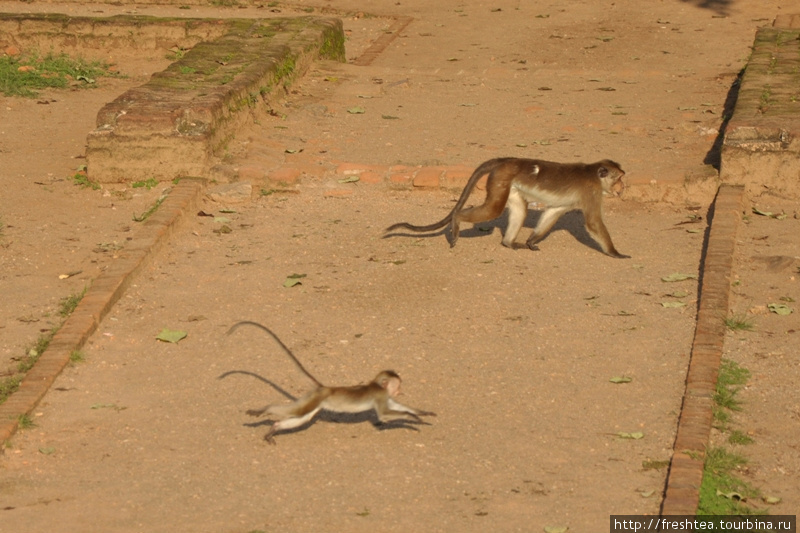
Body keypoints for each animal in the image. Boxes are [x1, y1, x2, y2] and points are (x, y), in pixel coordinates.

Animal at [225, 322, 438, 442]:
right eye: (398, 385)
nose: (399, 391)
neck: (378, 385)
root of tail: (324, 387)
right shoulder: (380, 395)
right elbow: (384, 415)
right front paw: (412, 418)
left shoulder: (386, 396)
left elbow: (400, 407)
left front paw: (422, 413)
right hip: (315, 398)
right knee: (297, 412)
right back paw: (264, 410)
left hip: (316, 402)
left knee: (302, 417)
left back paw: (274, 428)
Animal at [384, 157, 628, 256]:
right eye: (618, 179)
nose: (623, 187)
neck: (594, 174)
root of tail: (505, 160)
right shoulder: (592, 191)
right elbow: (593, 222)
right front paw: (615, 253)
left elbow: (552, 212)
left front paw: (531, 241)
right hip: (501, 178)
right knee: (494, 209)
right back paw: (457, 220)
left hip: (508, 184)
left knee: (520, 209)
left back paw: (509, 243)